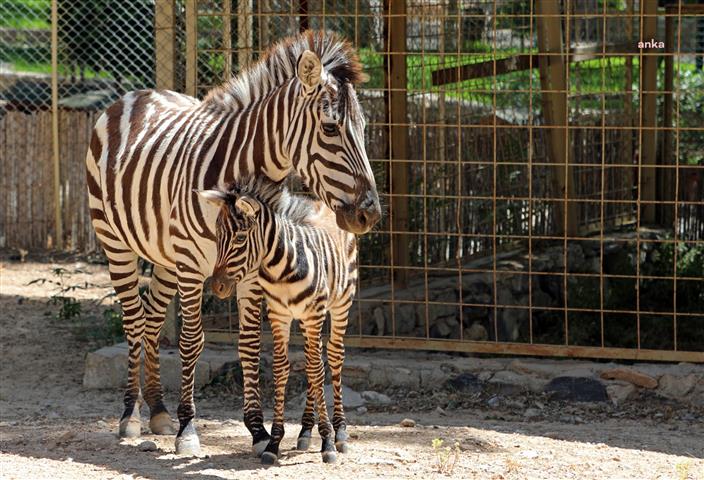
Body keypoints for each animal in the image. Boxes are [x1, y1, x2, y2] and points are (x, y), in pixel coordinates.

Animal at [201, 178, 360, 464]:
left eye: (239, 238)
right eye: (217, 235)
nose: (217, 287)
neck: (281, 269)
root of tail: (325, 204)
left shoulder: (313, 313)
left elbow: (317, 371)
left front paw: (328, 442)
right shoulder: (279, 315)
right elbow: (282, 369)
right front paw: (274, 443)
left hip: (340, 305)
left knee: (332, 358)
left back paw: (340, 432)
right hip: (308, 319)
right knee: (312, 359)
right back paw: (306, 431)